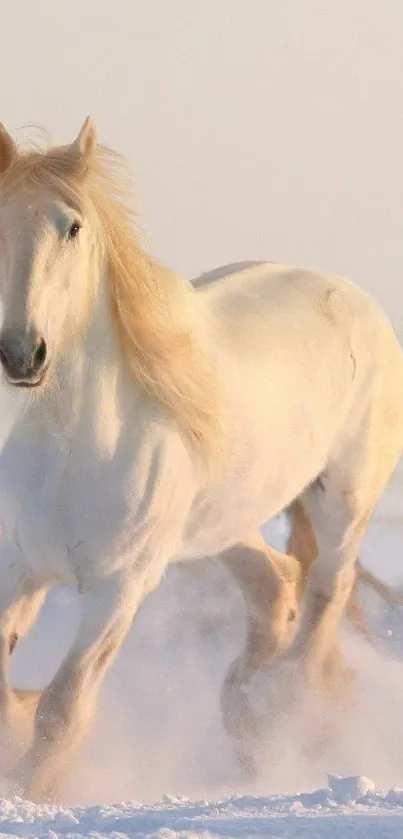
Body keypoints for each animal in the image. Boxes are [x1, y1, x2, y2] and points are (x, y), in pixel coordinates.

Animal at [0, 120, 403, 800]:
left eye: (72, 227)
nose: (22, 354)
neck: (73, 448)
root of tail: (353, 297)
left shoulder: (119, 590)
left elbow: (62, 708)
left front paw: (34, 792)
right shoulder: (19, 567)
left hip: (343, 501)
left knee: (327, 590)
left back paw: (286, 717)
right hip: (225, 522)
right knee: (277, 585)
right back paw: (246, 720)